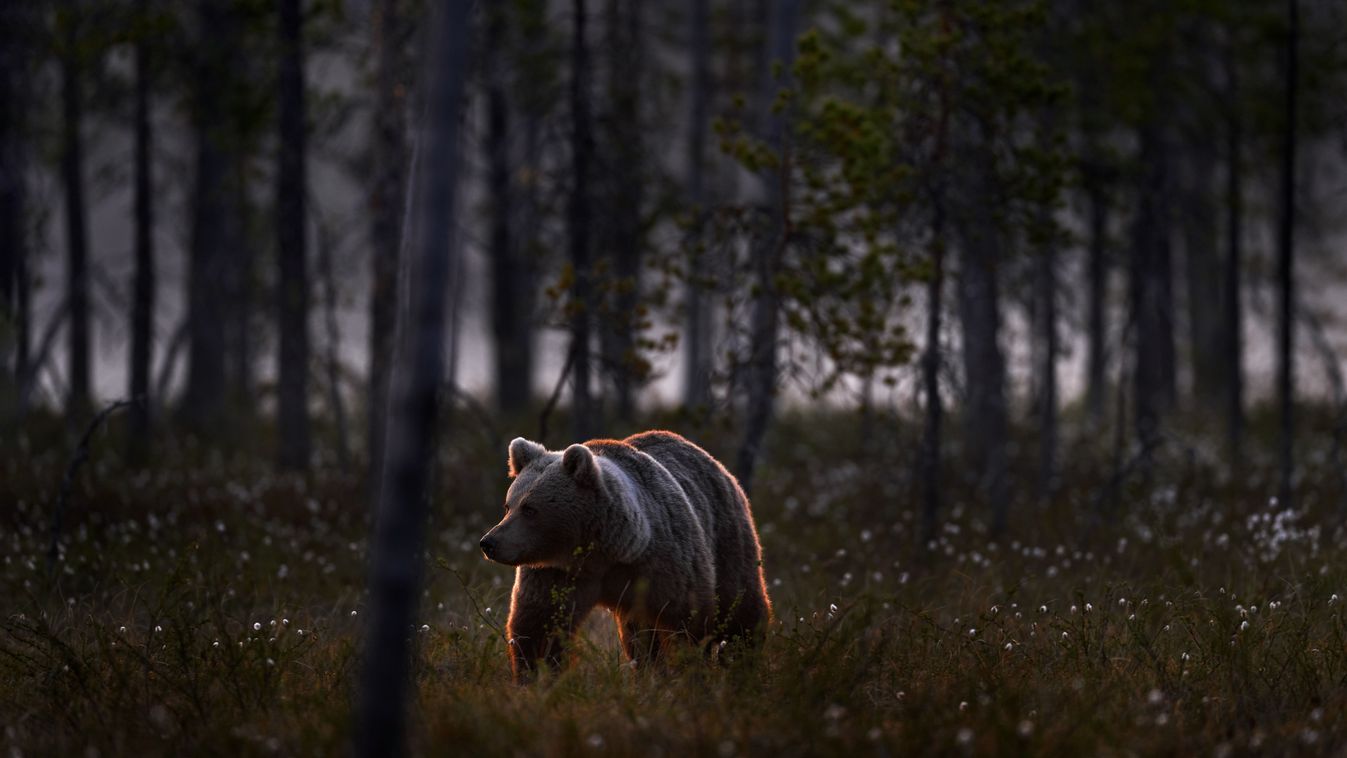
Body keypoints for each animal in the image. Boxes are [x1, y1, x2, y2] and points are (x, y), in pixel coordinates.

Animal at [482, 433, 775, 681]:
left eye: (530, 509)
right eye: (508, 505)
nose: (489, 543)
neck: (604, 552)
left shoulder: (662, 564)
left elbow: (685, 620)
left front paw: (688, 672)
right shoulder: (556, 572)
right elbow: (539, 625)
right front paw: (535, 677)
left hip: (727, 537)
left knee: (741, 609)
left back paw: (743, 663)